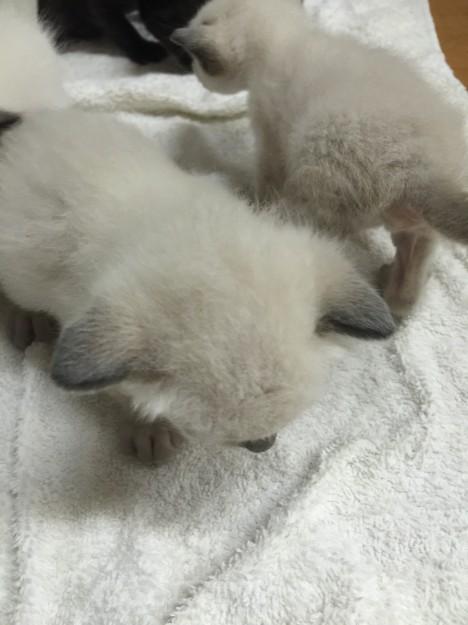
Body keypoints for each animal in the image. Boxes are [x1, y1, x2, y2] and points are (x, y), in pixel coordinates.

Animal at [175, 0, 468, 317]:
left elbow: (268, 175)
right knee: (409, 284)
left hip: (318, 193)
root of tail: (422, 171)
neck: (287, 39)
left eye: (197, 64)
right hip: (415, 224)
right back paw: (391, 283)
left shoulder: (269, 127)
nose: (193, 73)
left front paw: (257, 199)